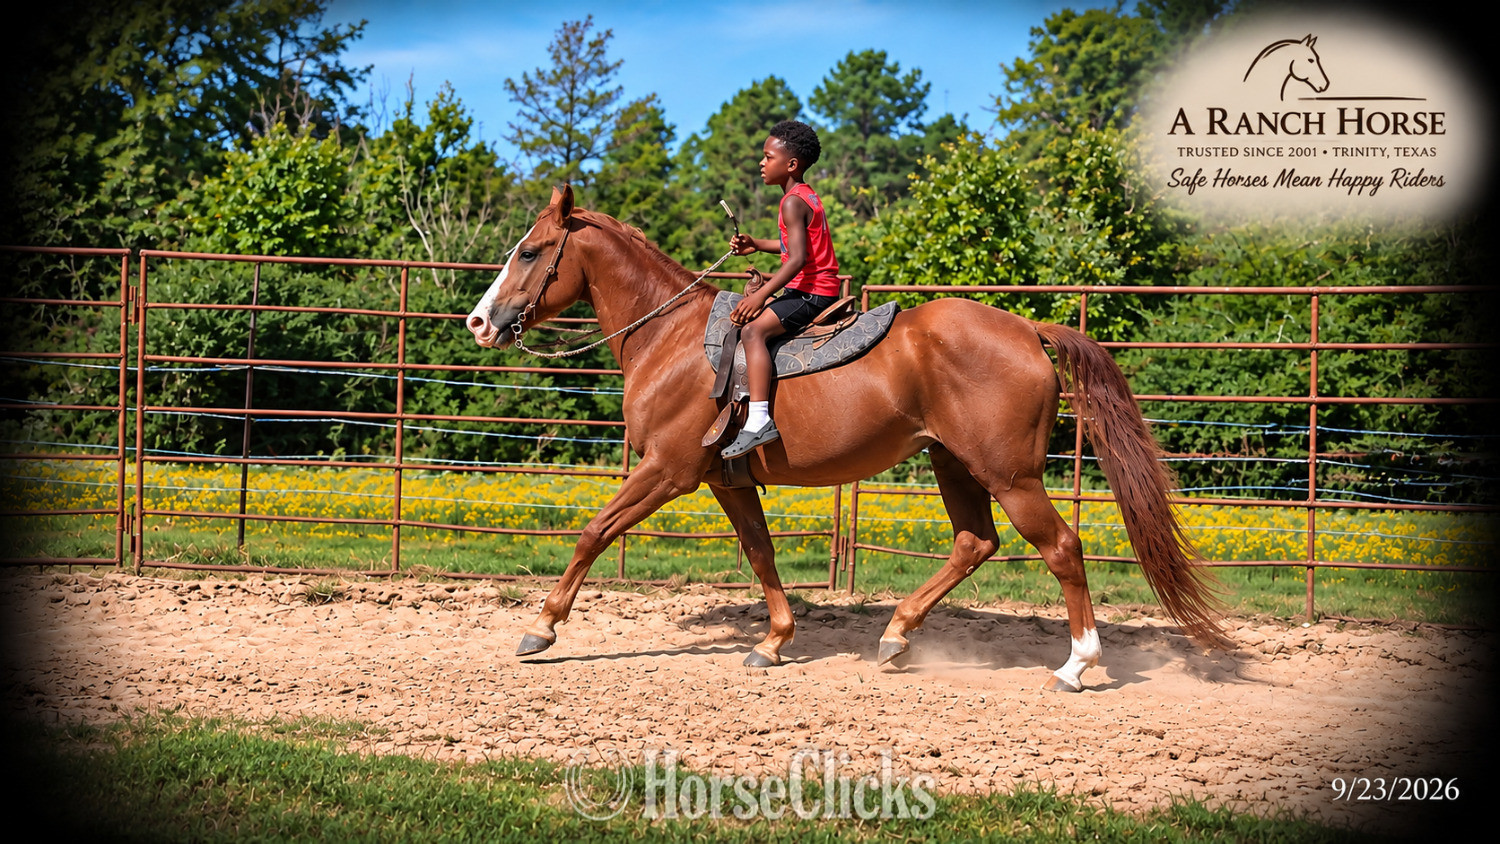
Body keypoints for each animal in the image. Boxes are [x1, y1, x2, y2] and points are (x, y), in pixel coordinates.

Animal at [466, 185, 1224, 692]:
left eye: (530, 252)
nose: (478, 322)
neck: (672, 340)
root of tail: (1027, 331)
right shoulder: (723, 480)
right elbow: (761, 553)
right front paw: (773, 642)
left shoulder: (669, 470)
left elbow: (595, 531)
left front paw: (543, 627)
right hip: (953, 464)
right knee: (974, 543)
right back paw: (896, 635)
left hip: (1010, 476)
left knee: (1061, 548)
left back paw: (1076, 664)